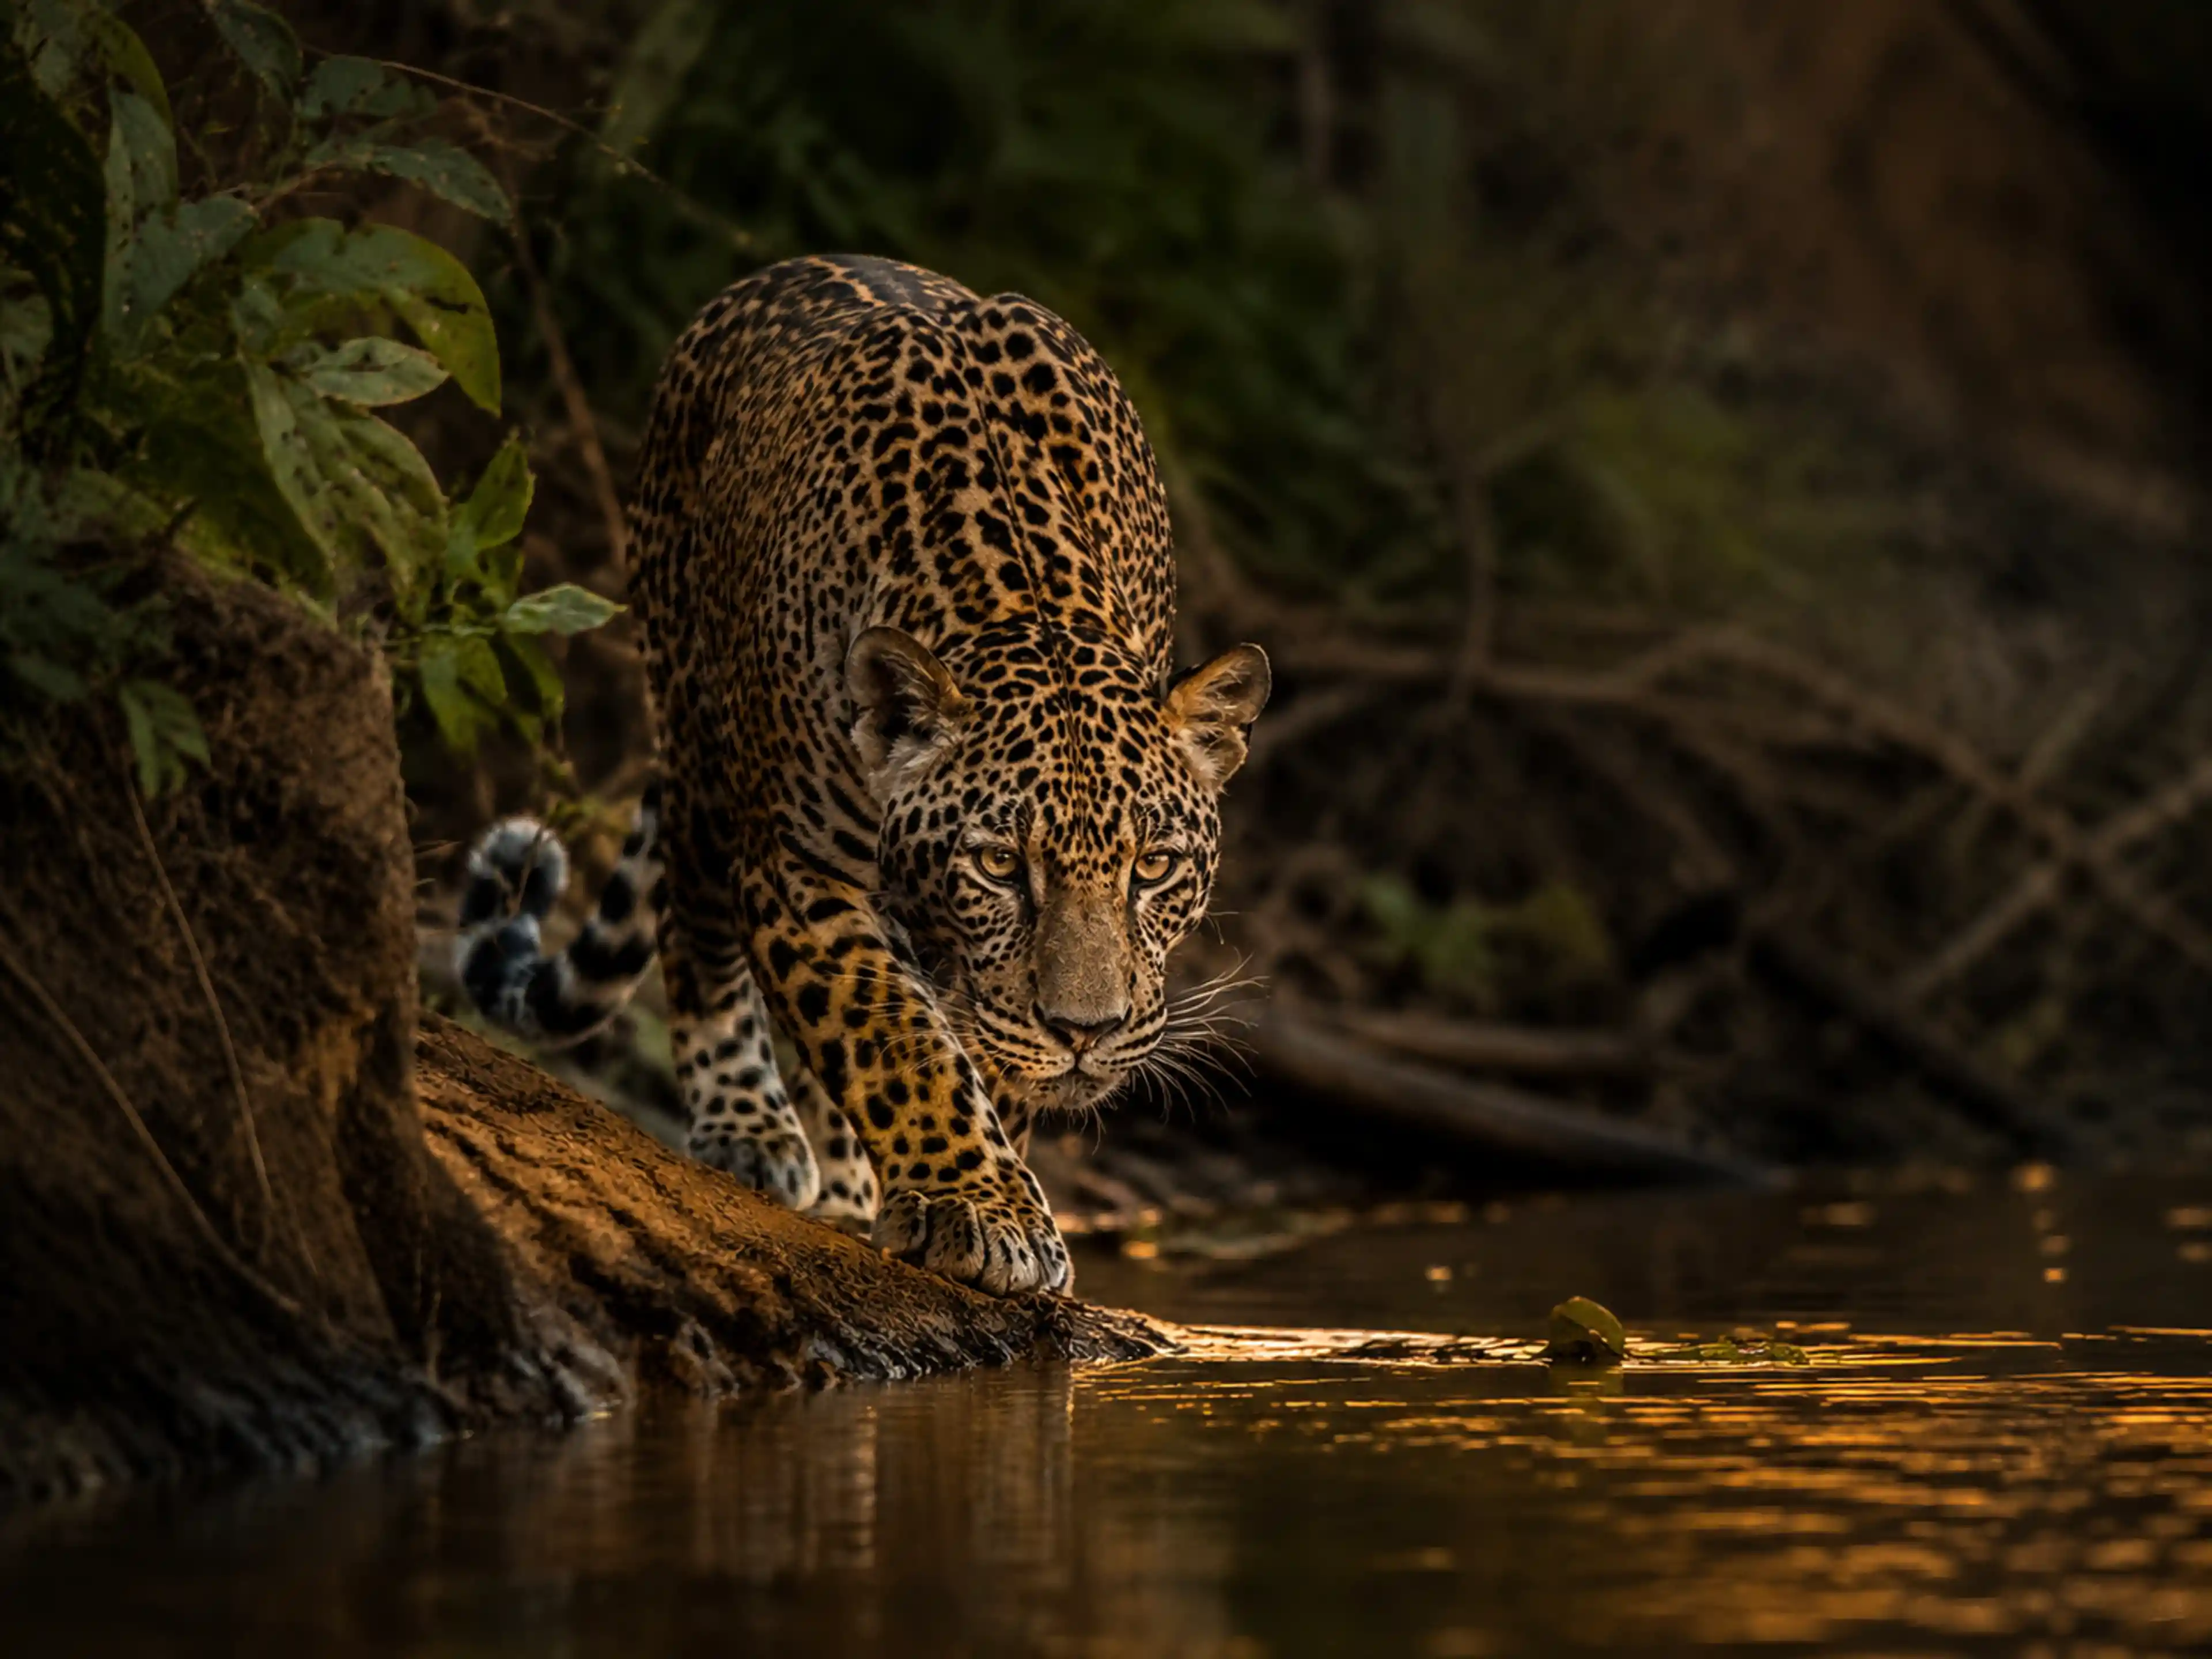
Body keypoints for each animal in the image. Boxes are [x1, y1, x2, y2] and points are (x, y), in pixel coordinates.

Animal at [455, 254, 1268, 1296]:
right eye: (999, 865)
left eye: (1154, 869)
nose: (1083, 1031)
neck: (1028, 601)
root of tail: (779, 270)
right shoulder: (798, 863)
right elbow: (890, 1031)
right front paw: (987, 1210)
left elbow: (971, 1050)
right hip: (692, 722)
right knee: (696, 929)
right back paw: (750, 1127)